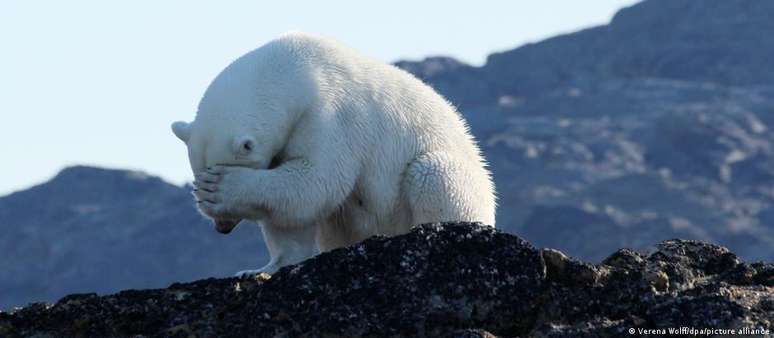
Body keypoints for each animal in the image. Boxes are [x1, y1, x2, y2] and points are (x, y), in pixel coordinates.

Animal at [171, 31, 498, 276]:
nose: (222, 228)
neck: (291, 70)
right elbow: (290, 215)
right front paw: (260, 269)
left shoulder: (331, 114)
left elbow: (318, 180)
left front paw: (220, 187)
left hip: (457, 178)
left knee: (431, 175)